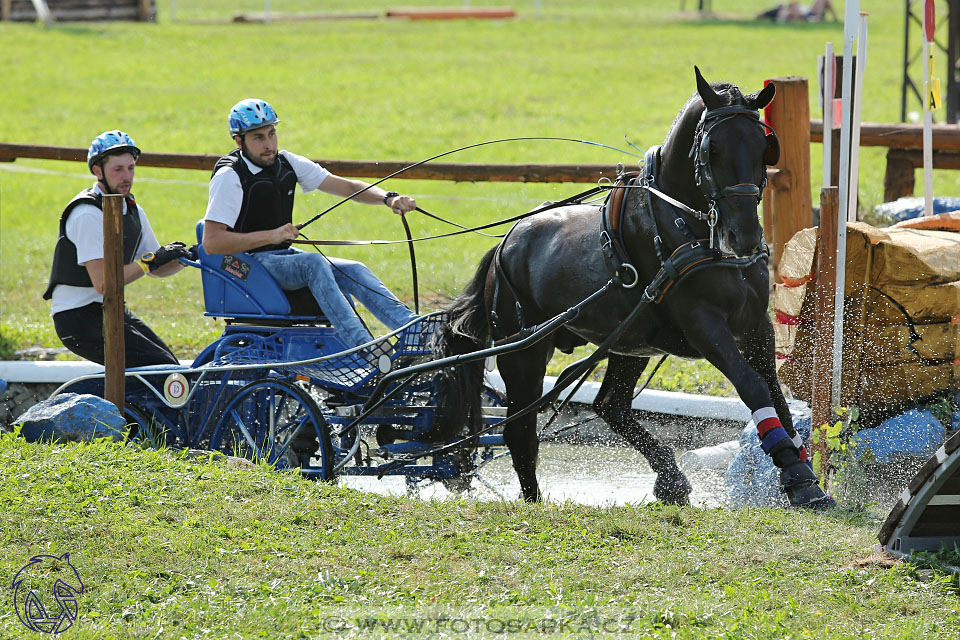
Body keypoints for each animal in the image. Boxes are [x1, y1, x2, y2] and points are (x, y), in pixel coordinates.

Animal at [434, 67, 832, 510]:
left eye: (765, 146)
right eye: (711, 149)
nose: (743, 236)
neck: (691, 230)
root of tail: (506, 242)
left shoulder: (755, 325)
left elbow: (777, 397)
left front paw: (801, 470)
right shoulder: (704, 325)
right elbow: (752, 386)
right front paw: (795, 471)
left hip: (630, 341)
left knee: (611, 406)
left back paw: (671, 478)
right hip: (523, 351)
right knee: (520, 431)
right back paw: (534, 502)